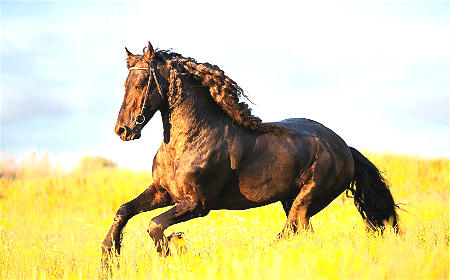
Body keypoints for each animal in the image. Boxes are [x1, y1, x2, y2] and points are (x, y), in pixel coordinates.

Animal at [101, 40, 398, 264]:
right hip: (292, 201)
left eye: (141, 82)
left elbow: (155, 225)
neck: (189, 140)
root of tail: (344, 147)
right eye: (125, 83)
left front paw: (175, 249)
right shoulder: (164, 192)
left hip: (306, 200)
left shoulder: (198, 204)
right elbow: (124, 211)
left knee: (291, 230)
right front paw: (108, 256)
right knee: (302, 233)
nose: (123, 130)